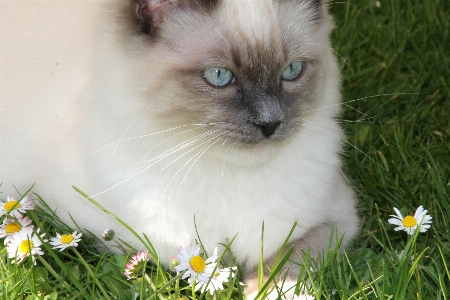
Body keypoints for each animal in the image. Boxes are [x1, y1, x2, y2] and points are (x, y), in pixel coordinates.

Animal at [0, 0, 358, 298]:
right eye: (219, 76)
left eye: (292, 71)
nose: (269, 124)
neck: (229, 175)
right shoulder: (98, 228)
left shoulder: (336, 222)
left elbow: (286, 265)